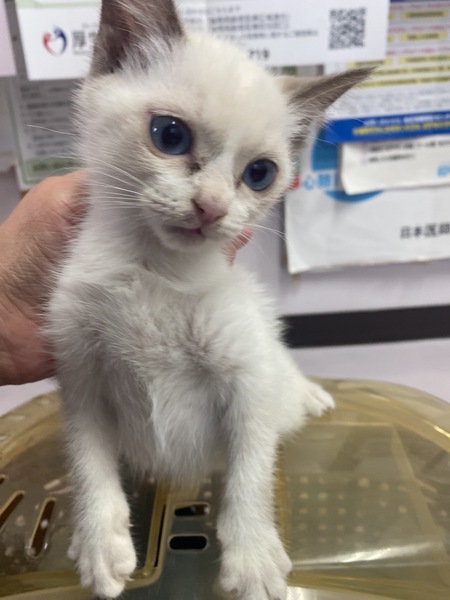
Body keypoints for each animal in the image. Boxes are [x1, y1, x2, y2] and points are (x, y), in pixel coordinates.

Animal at [47, 1, 369, 598]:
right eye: (170, 135)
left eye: (259, 174)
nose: (212, 207)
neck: (157, 271)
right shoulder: (80, 376)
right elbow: (88, 461)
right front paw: (100, 544)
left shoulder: (247, 378)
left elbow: (250, 470)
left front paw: (254, 560)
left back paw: (311, 394)